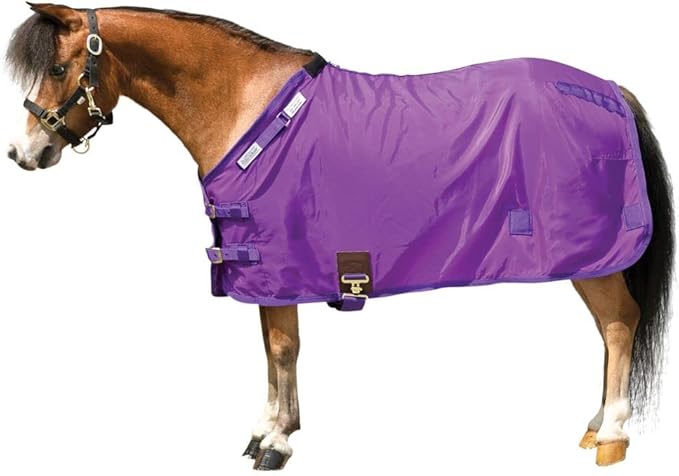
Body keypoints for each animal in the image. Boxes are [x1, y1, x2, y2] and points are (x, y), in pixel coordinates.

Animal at [5, 4, 673, 471]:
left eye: (59, 68)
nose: (22, 153)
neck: (245, 107)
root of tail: (612, 90)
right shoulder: (267, 271)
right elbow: (272, 350)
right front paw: (267, 429)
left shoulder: (279, 263)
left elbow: (282, 348)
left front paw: (275, 443)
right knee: (610, 332)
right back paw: (594, 426)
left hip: (593, 258)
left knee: (619, 325)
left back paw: (611, 436)